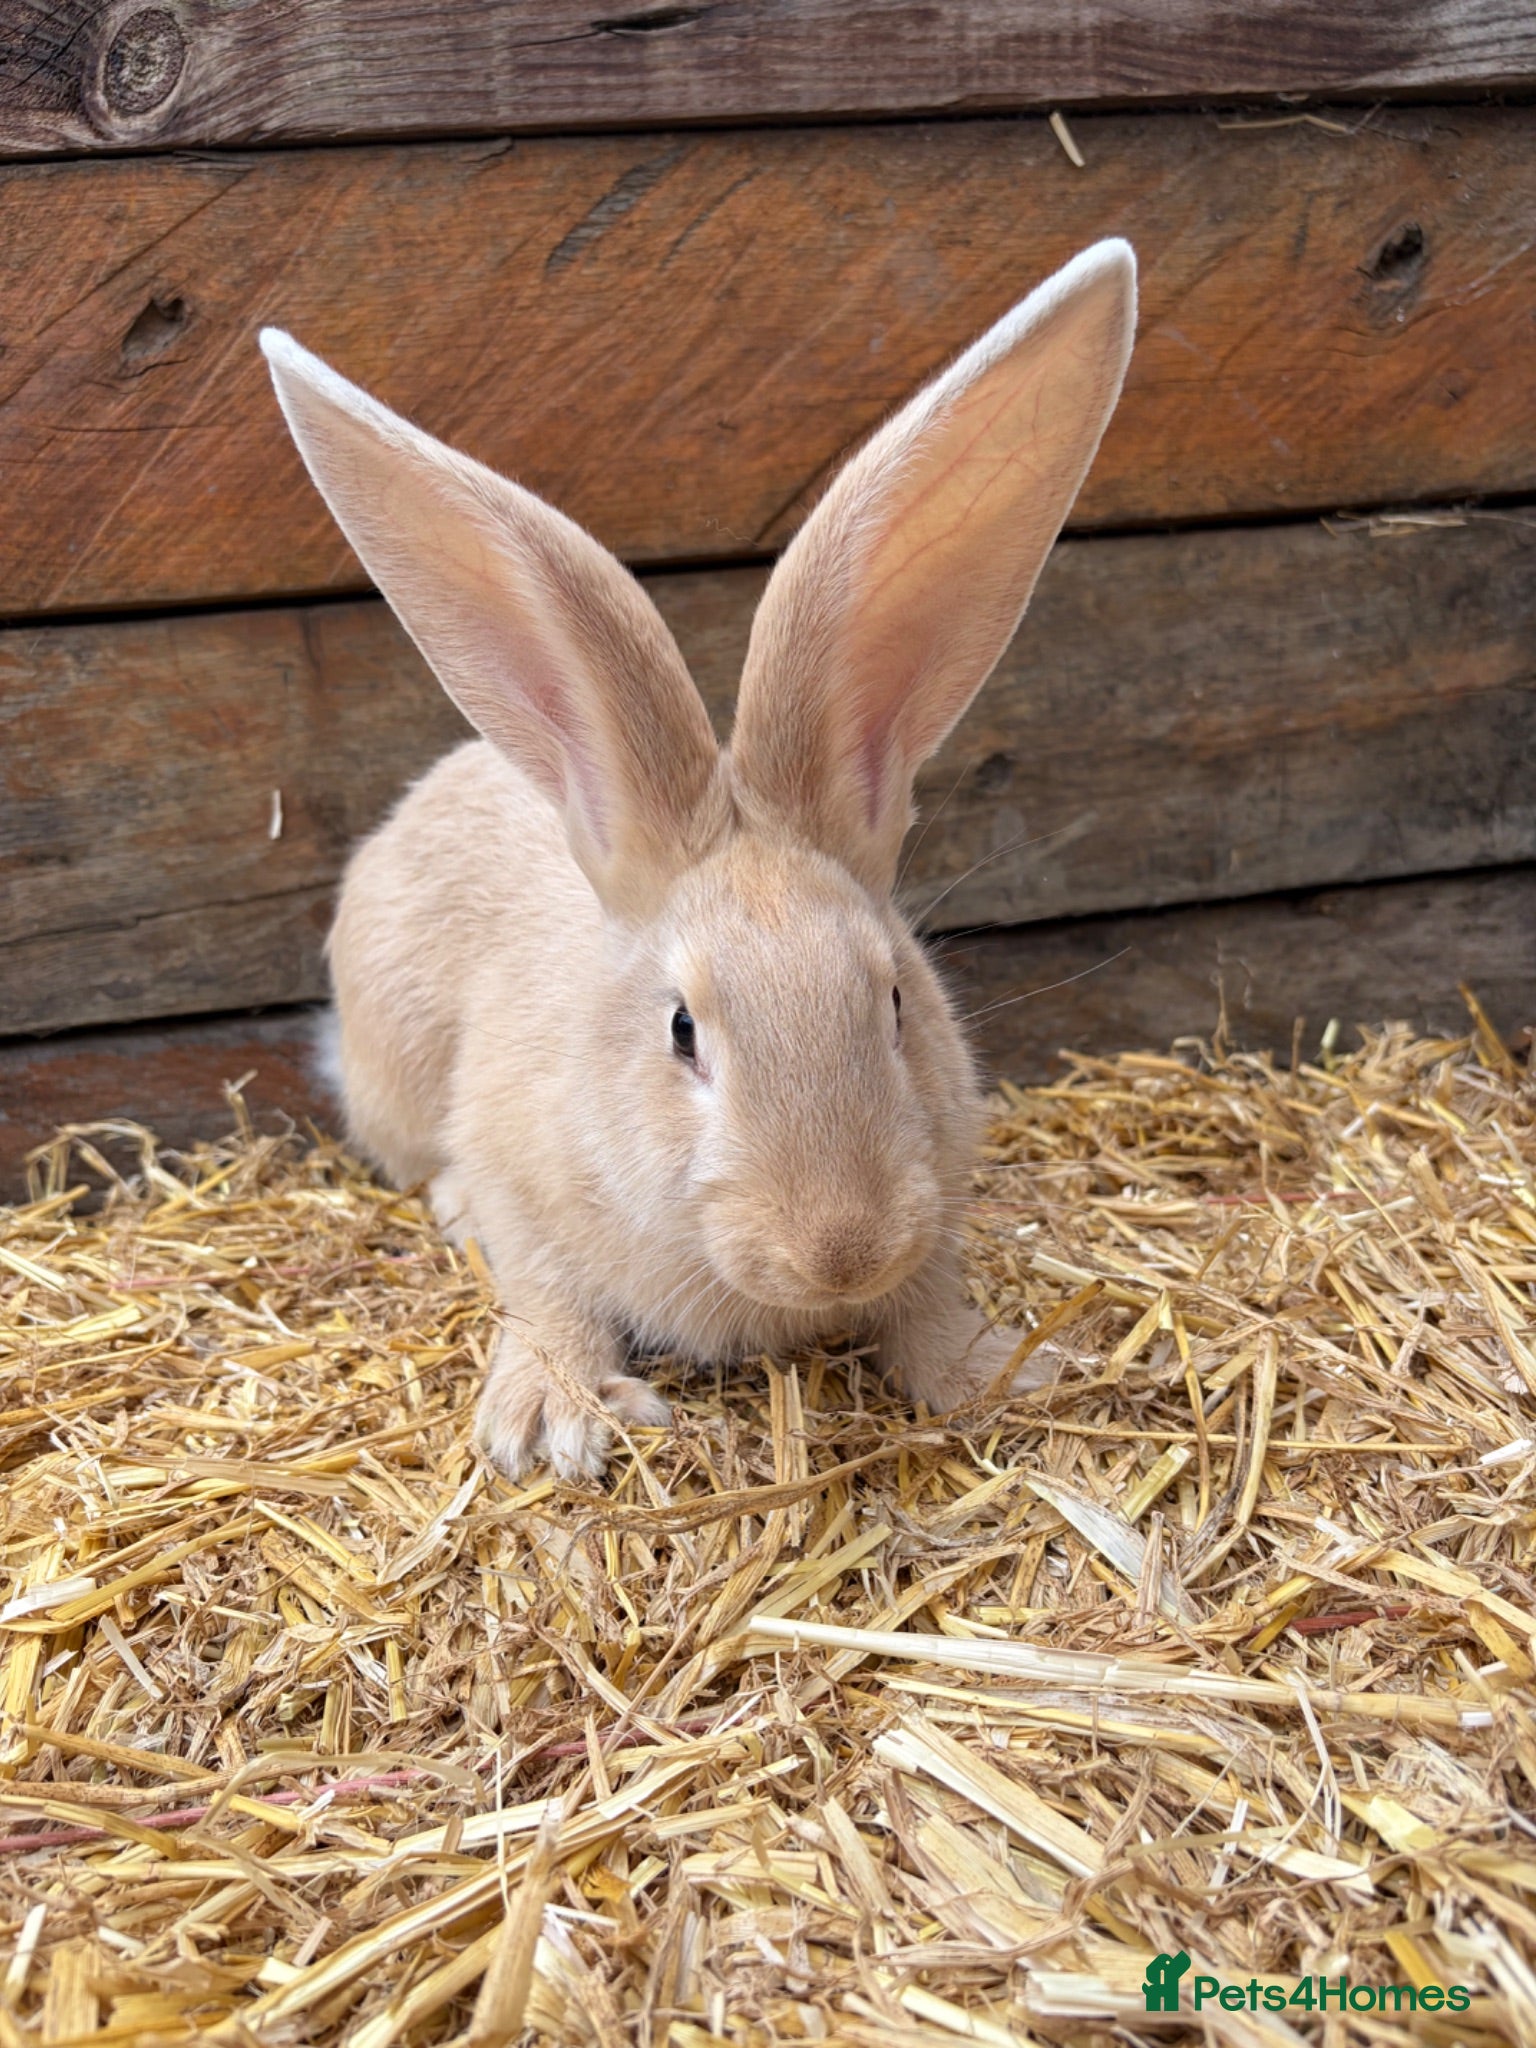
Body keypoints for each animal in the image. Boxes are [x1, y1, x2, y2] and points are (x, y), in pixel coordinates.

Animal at [260, 237, 1136, 1481]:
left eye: (896, 1002)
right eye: (681, 1031)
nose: (841, 1247)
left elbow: (928, 1304)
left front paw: (995, 1371)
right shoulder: (524, 1181)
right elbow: (545, 1292)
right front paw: (554, 1418)